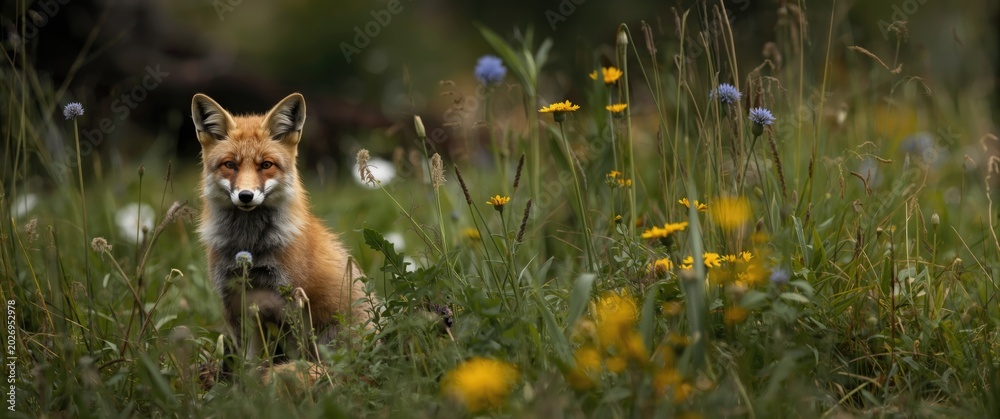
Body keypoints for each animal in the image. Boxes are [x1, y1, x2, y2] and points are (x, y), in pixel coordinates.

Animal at [191, 92, 372, 364]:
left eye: (266, 165)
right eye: (230, 165)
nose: (246, 196)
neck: (249, 246)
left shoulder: (290, 301)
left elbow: (291, 356)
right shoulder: (234, 301)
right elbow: (247, 360)